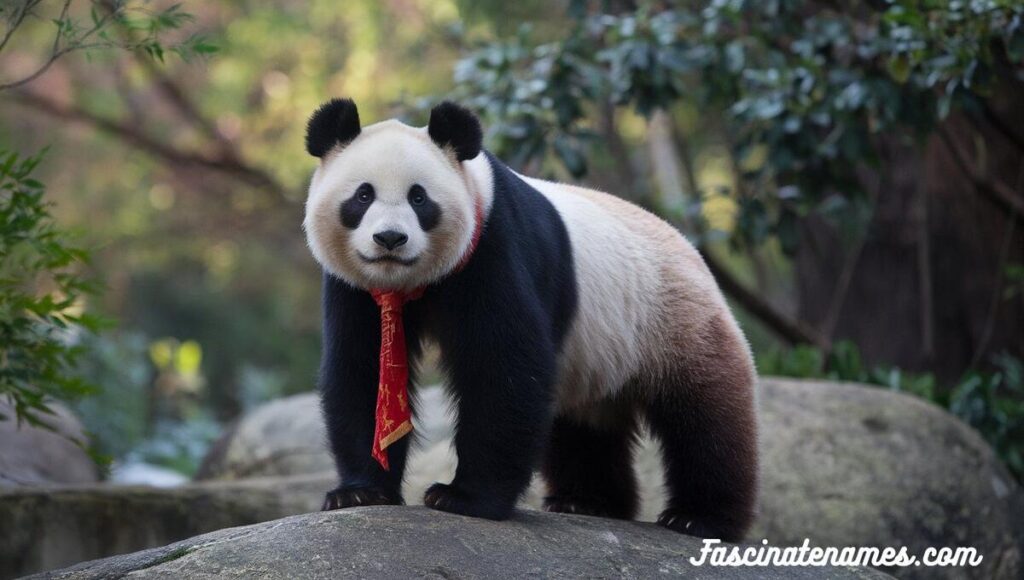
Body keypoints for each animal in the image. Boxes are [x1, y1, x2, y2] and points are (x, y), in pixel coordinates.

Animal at [303, 98, 759, 541]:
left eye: (419, 199)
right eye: (363, 196)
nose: (390, 239)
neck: (408, 284)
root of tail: (693, 251)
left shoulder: (495, 247)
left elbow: (504, 368)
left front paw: (465, 498)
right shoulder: (355, 288)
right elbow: (361, 370)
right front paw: (360, 492)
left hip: (672, 320)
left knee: (705, 420)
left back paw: (698, 518)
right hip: (595, 358)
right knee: (583, 428)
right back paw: (587, 501)